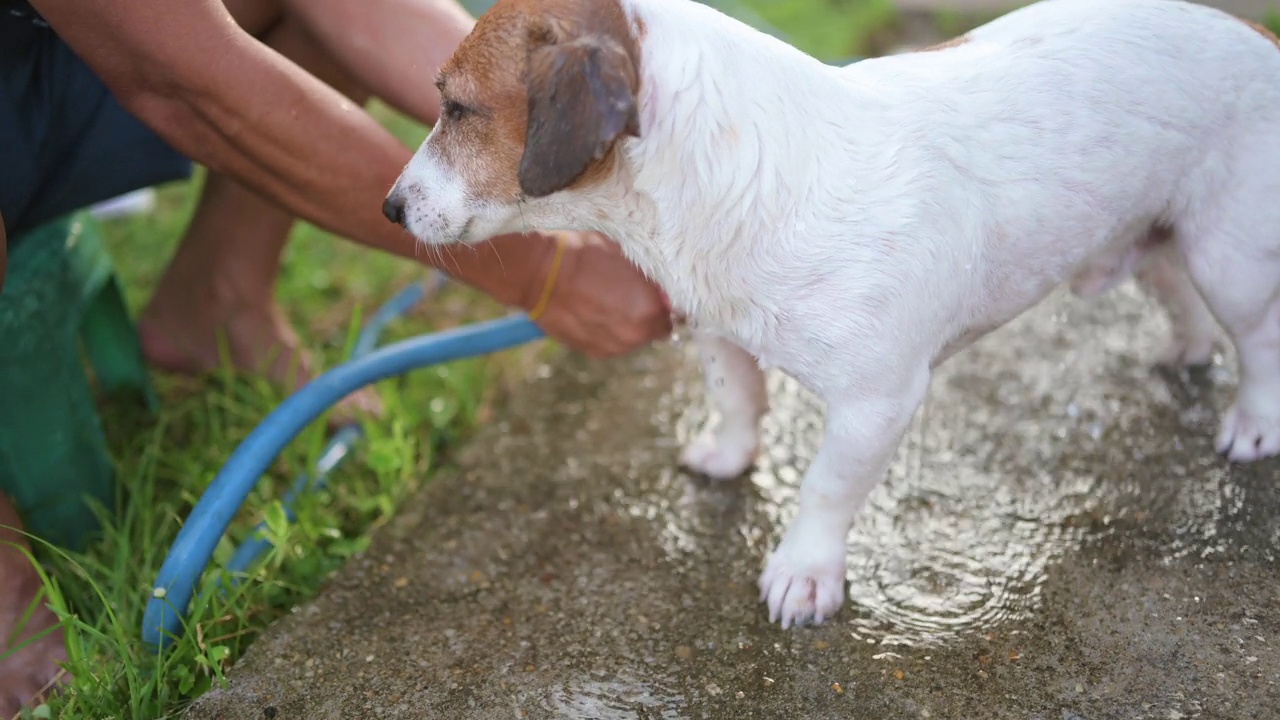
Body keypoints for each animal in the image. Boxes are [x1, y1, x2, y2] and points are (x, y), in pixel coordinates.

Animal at [384, 0, 1280, 627]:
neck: (729, 177)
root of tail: (1251, 31)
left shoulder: (877, 401)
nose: (389, 209)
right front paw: (729, 456)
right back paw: (1183, 352)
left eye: (456, 109)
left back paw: (1252, 423)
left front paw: (803, 573)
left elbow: (823, 488)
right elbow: (737, 400)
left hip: (1228, 259)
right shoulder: (717, 331)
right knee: (1176, 291)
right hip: (1149, 236)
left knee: (1258, 339)